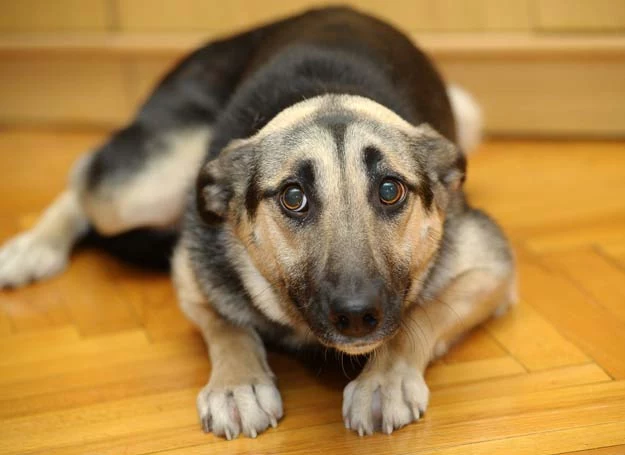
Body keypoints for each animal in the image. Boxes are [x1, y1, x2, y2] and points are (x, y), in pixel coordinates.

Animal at [0, 6, 516, 442]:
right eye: (293, 197)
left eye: (391, 190)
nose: (356, 315)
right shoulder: (190, 271)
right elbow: (226, 323)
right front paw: (238, 382)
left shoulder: (491, 269)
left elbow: (421, 316)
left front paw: (385, 378)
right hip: (139, 188)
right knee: (85, 176)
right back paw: (34, 247)